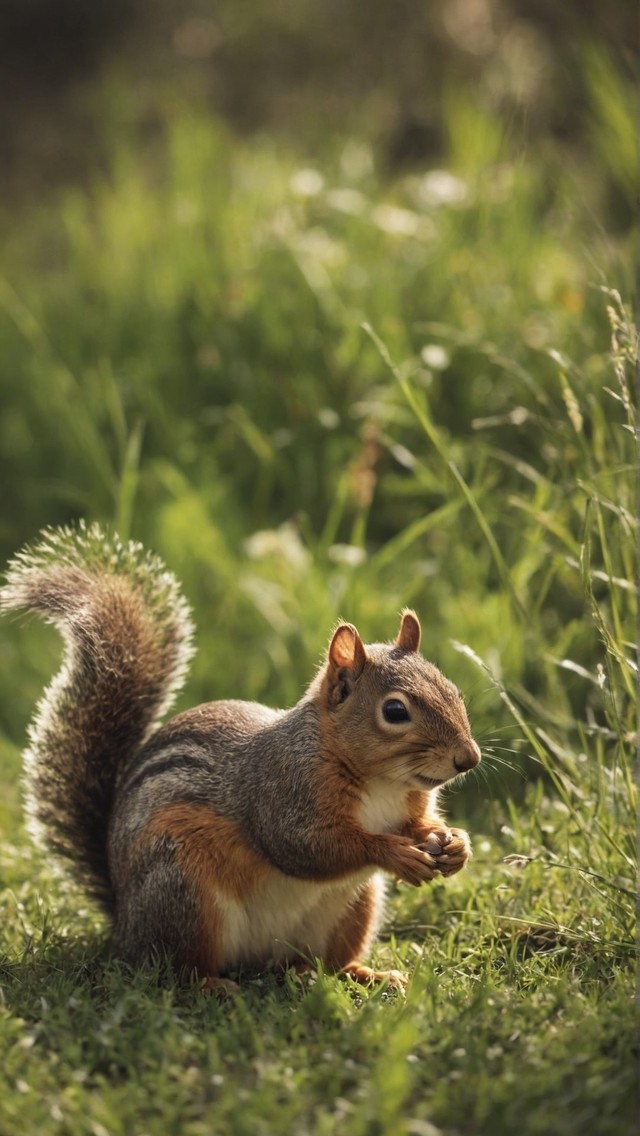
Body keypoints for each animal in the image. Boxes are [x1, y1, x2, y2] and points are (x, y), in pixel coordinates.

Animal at [0, 527, 481, 990]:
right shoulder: (281, 792)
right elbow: (306, 847)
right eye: (395, 711)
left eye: (454, 691)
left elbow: (416, 826)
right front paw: (393, 852)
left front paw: (454, 843)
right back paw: (211, 986)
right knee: (174, 968)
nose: (469, 759)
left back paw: (366, 974)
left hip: (352, 909)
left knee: (326, 963)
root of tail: (124, 922)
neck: (383, 780)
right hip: (182, 891)